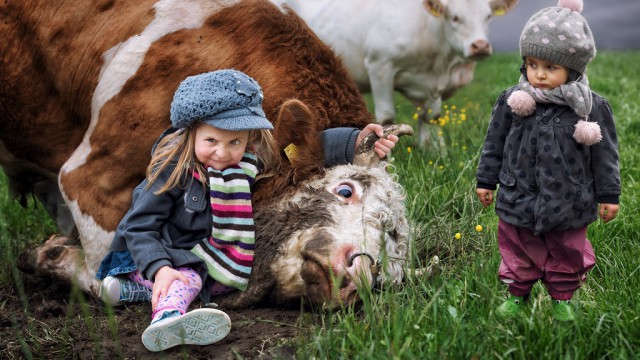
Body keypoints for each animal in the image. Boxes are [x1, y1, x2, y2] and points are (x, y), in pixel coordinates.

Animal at [1, 0, 410, 310]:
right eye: (345, 190)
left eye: (390, 252)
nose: (359, 276)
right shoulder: (89, 178)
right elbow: (111, 278)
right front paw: (50, 255)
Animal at [282, 0, 516, 146]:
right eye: (455, 17)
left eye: (488, 16)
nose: (480, 46)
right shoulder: (381, 66)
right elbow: (387, 117)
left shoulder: (432, 84)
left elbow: (431, 117)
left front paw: (434, 150)